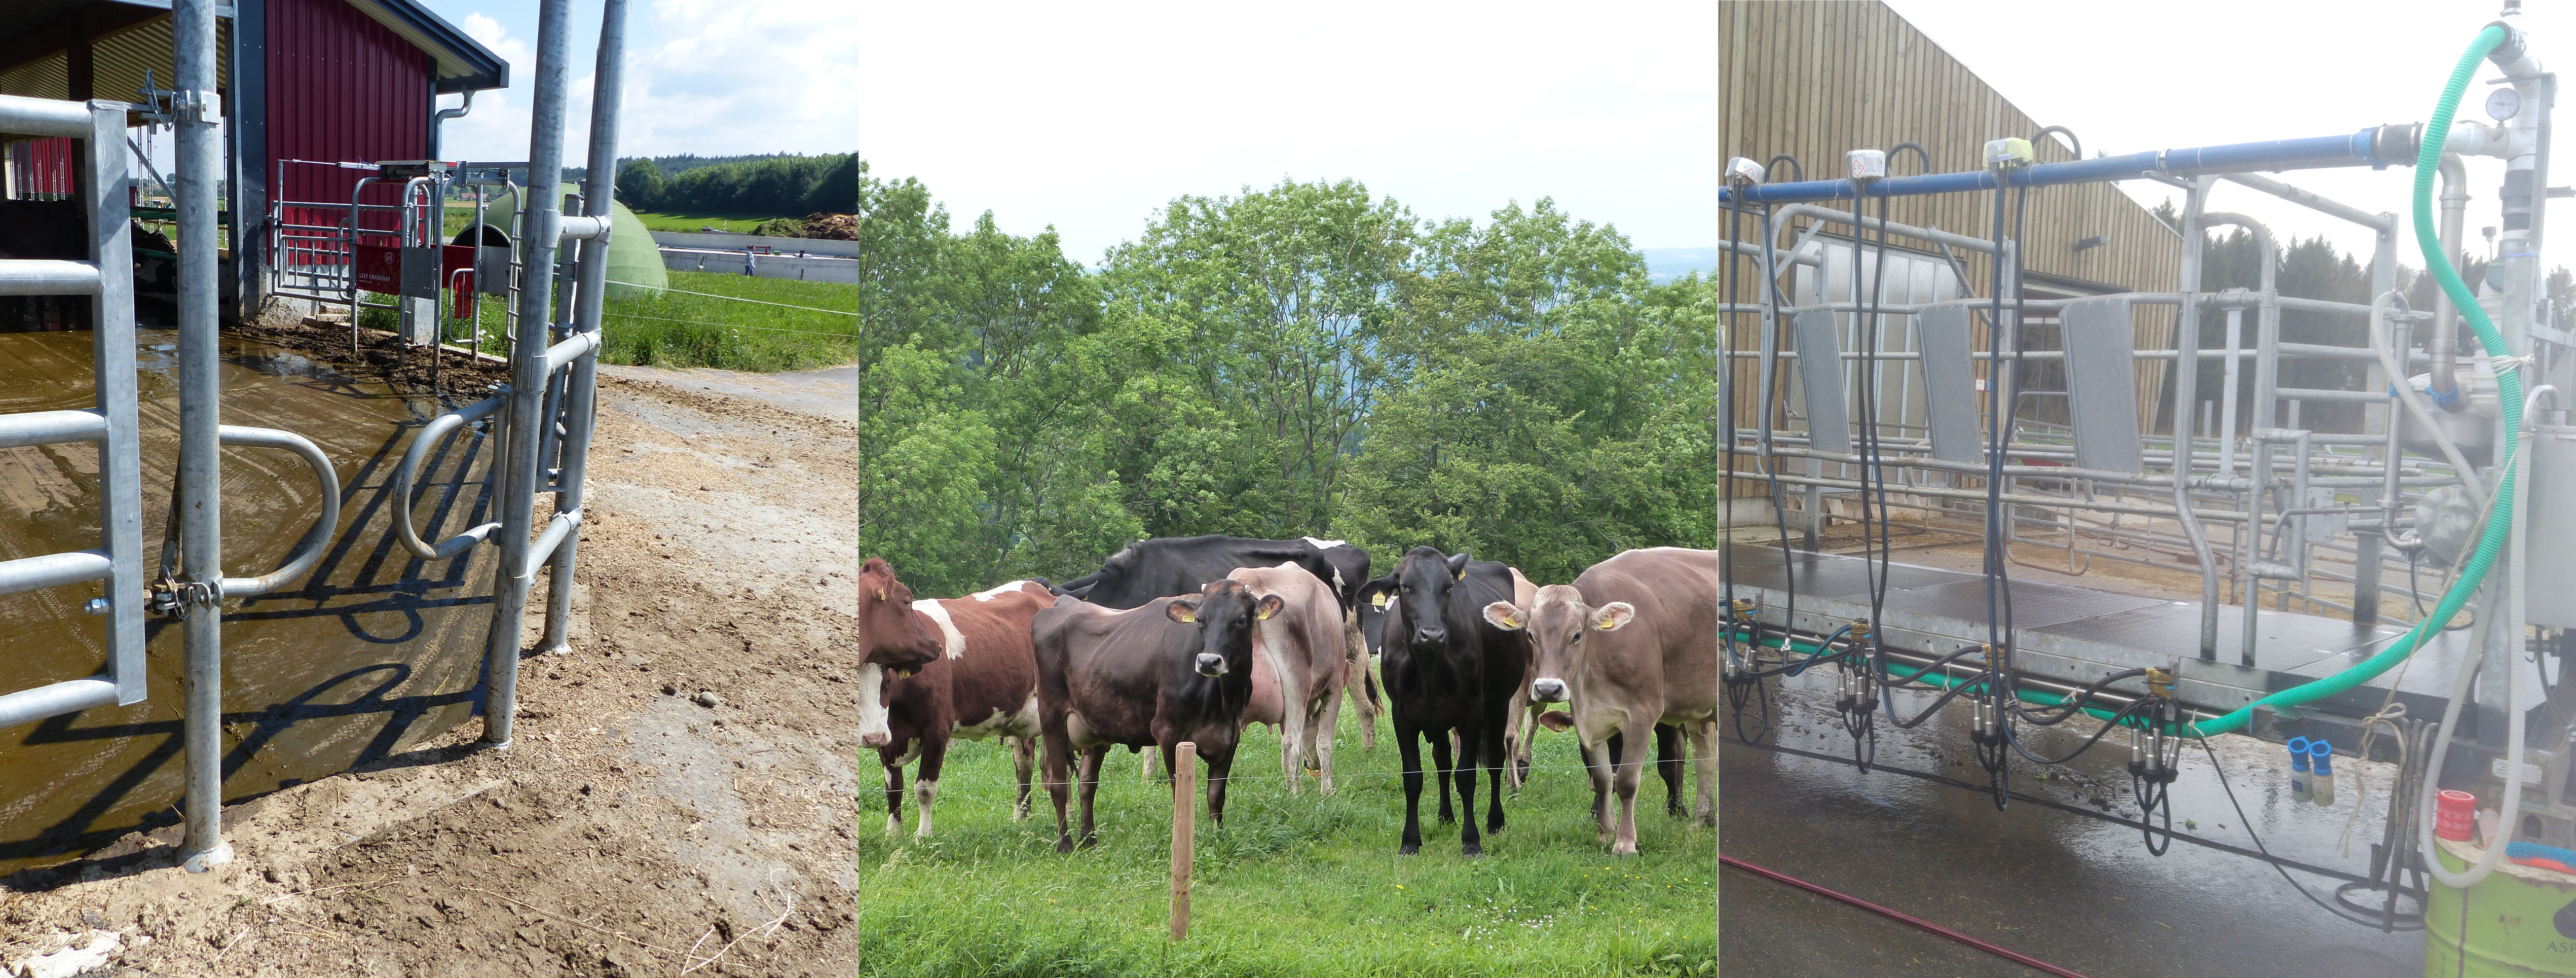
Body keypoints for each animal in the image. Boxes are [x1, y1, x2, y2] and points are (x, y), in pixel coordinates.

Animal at [850, 558, 1051, 839]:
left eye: (887, 683)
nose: (873, 738)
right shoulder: (888, 737)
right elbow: (894, 787)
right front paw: (893, 833)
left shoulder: (937, 731)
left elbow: (924, 788)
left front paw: (924, 835)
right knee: (1024, 765)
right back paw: (1021, 817)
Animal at [1226, 561, 1350, 792]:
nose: (1312, 767)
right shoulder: (1335, 687)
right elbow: (1324, 743)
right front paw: (1328, 791)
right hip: (1296, 687)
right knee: (1290, 746)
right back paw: (1295, 796)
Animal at [1380, 551, 1514, 854]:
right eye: (1405, 586)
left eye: (1449, 587)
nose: (1432, 635)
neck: (1428, 666)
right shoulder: (1402, 715)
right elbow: (1413, 778)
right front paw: (1410, 842)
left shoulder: (1472, 713)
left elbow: (1466, 778)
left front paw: (1471, 842)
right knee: (1442, 760)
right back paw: (1445, 817)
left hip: (1500, 707)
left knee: (1496, 760)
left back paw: (1495, 822)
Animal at [1483, 546, 1721, 854]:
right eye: (1531, 635)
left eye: (1577, 635)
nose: (1548, 689)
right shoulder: (1588, 720)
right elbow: (1603, 779)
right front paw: (1606, 833)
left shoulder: (1643, 716)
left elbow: (1628, 782)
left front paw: (1626, 842)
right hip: (1698, 710)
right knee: (1705, 758)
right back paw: (1702, 820)